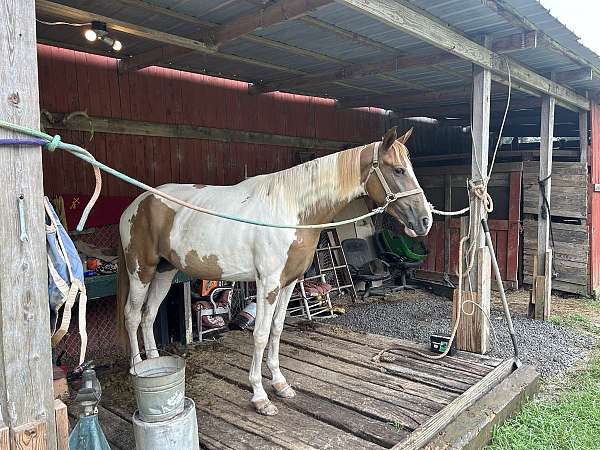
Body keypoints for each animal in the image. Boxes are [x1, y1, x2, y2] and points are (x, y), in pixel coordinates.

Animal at [117, 125, 432, 414]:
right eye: (398, 170)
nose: (425, 219)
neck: (290, 209)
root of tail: (137, 204)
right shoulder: (267, 284)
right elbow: (260, 334)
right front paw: (260, 396)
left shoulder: (289, 282)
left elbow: (278, 329)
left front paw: (280, 384)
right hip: (141, 270)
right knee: (132, 316)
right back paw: (138, 369)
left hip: (164, 272)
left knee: (148, 316)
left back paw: (155, 364)